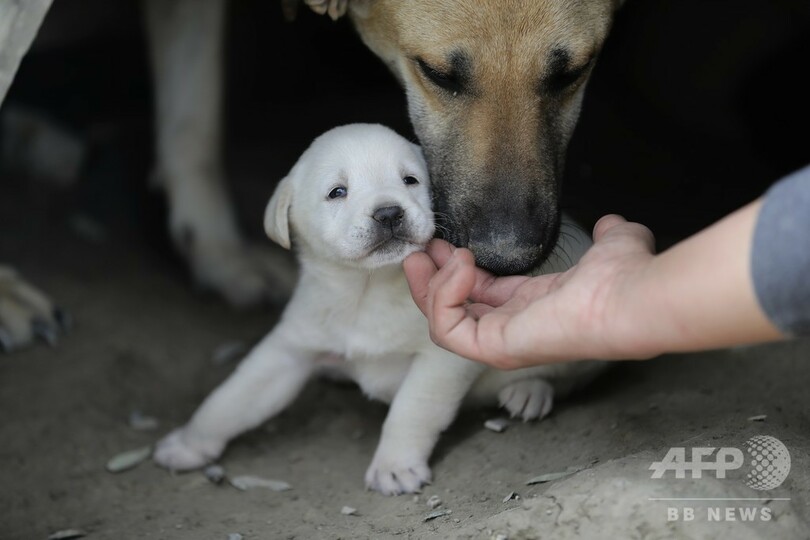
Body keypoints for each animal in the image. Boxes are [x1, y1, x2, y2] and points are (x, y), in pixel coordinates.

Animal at [153, 124, 600, 496]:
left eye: (410, 180)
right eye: (337, 192)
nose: (389, 212)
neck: (365, 292)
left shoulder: (441, 359)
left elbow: (412, 409)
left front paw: (395, 466)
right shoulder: (289, 351)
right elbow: (232, 399)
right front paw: (188, 444)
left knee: (569, 377)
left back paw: (529, 391)